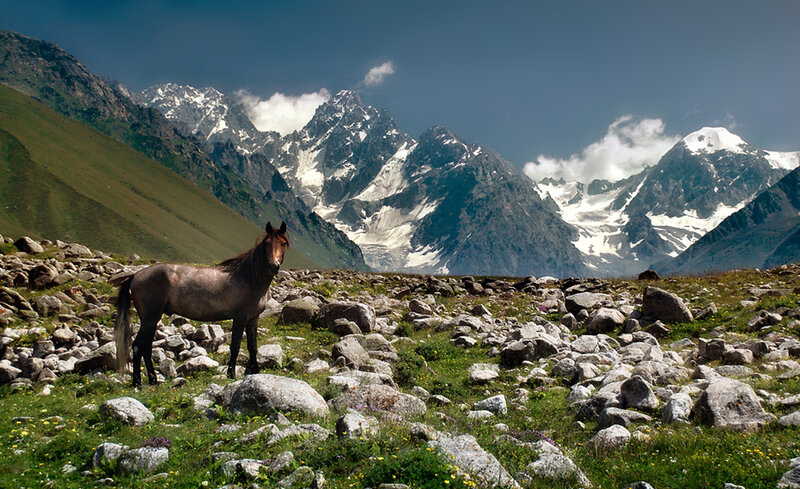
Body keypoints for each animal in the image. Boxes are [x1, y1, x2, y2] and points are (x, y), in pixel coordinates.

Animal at [114, 221, 289, 387]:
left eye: (282, 243)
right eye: (267, 243)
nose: (273, 266)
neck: (249, 277)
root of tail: (136, 275)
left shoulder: (253, 318)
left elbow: (253, 346)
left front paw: (255, 372)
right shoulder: (240, 317)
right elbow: (235, 345)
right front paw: (231, 375)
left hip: (151, 319)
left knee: (146, 347)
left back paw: (152, 380)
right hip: (150, 318)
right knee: (138, 346)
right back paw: (138, 382)